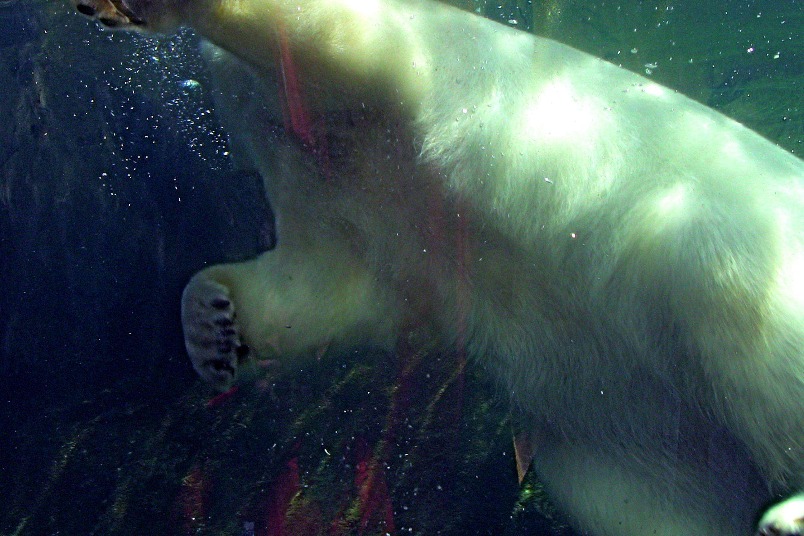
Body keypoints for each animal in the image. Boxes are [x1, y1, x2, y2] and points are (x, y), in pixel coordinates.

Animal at [71, 0, 803, 534]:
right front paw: (213, 327)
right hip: (636, 441)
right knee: (634, 495)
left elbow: (336, 34)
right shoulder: (334, 193)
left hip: (717, 250)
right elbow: (320, 287)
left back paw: (787, 515)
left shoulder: (399, 69)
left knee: (746, 337)